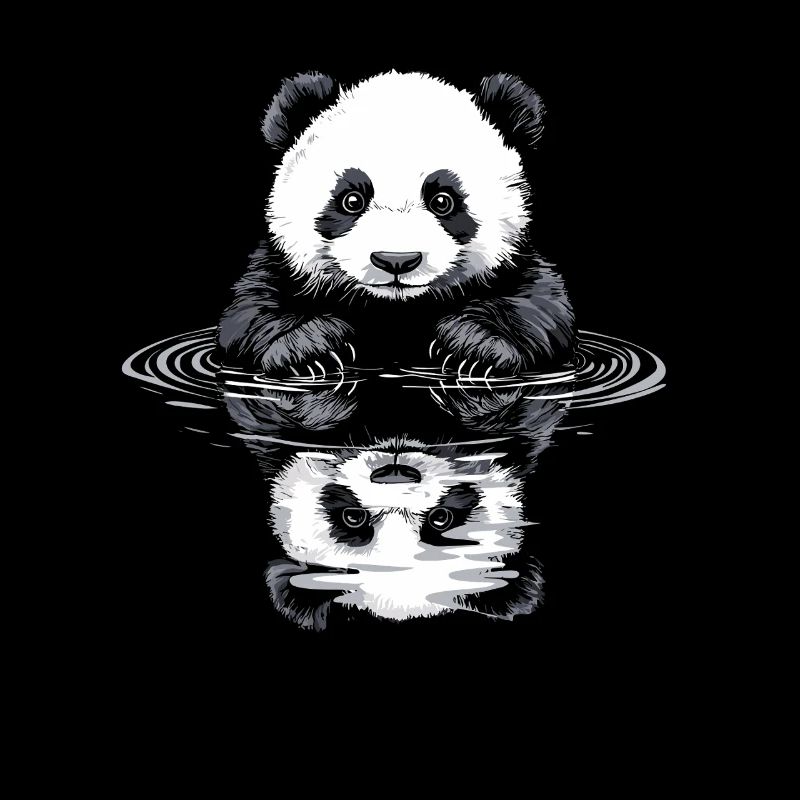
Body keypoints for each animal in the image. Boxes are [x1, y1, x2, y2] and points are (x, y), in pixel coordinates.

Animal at [217, 71, 574, 377]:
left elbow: (541, 309)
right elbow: (248, 314)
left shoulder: (518, 267)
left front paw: (475, 347)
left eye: (442, 200)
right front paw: (309, 349)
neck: (395, 311)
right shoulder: (278, 267)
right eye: (352, 200)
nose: (396, 261)